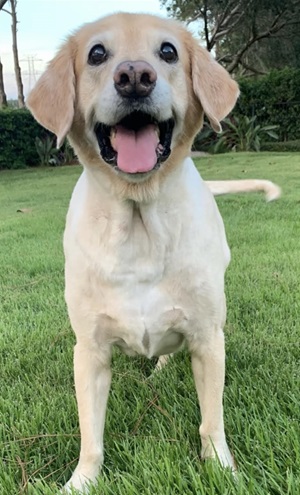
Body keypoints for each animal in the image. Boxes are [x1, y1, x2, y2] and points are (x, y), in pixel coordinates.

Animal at [27, 13, 280, 494]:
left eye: (168, 52)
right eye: (97, 54)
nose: (134, 77)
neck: (139, 221)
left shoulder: (208, 340)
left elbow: (211, 422)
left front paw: (221, 469)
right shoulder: (89, 352)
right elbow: (90, 435)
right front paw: (82, 480)